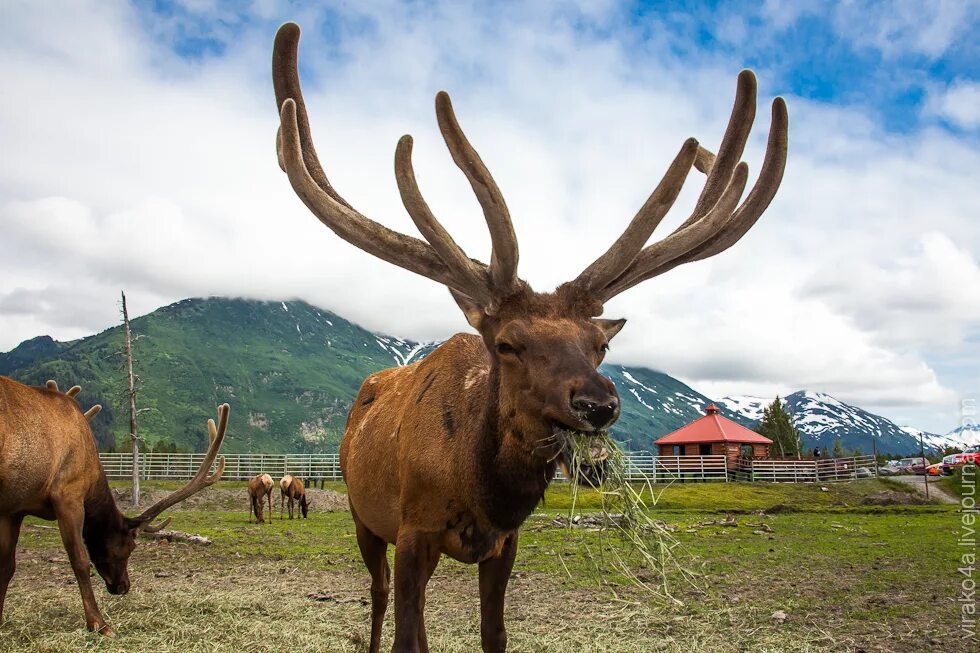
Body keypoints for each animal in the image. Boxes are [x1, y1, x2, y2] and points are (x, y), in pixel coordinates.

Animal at [0, 374, 228, 636]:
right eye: (130, 547)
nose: (124, 586)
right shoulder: (68, 494)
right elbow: (80, 561)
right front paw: (99, 623)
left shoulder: (12, 509)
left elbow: (7, 566)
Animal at [270, 21, 788, 652]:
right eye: (507, 344)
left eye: (601, 345)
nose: (597, 403)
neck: (481, 488)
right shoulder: (414, 529)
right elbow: (406, 634)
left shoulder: (504, 543)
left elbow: (494, 635)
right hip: (362, 515)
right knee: (379, 595)